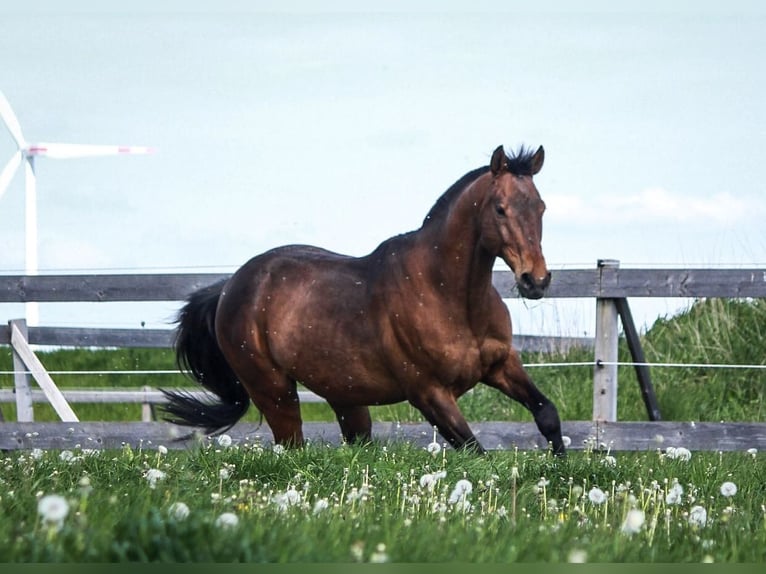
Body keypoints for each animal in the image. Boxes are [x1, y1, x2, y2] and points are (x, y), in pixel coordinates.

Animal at [162, 146, 568, 456]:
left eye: (541, 207)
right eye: (500, 208)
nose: (535, 280)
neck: (449, 296)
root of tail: (228, 288)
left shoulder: (501, 364)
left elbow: (547, 415)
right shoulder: (429, 393)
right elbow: (475, 450)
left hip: (346, 398)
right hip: (275, 392)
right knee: (292, 445)